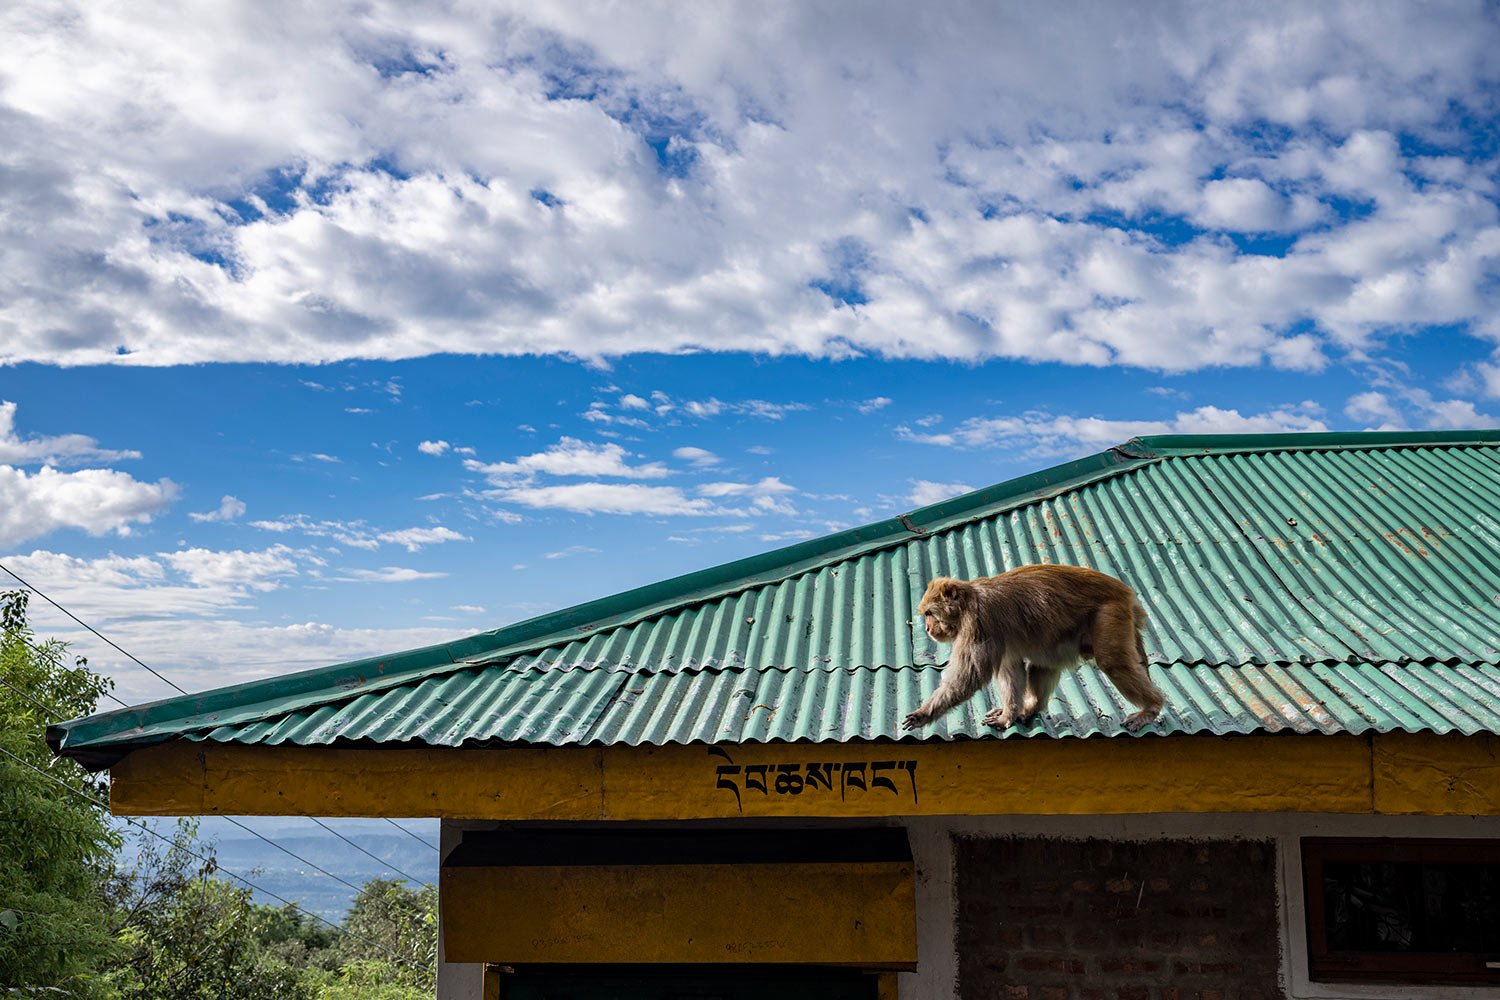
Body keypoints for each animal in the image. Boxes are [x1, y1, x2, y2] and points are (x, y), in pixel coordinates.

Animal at [894, 563, 1164, 734]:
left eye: (929, 614)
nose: (927, 628)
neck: (968, 602)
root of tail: (1125, 592)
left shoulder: (979, 622)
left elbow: (971, 675)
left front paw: (924, 714)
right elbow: (1010, 669)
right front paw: (1009, 714)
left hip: (1109, 614)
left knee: (1113, 662)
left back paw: (1151, 707)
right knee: (1042, 664)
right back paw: (1030, 709)